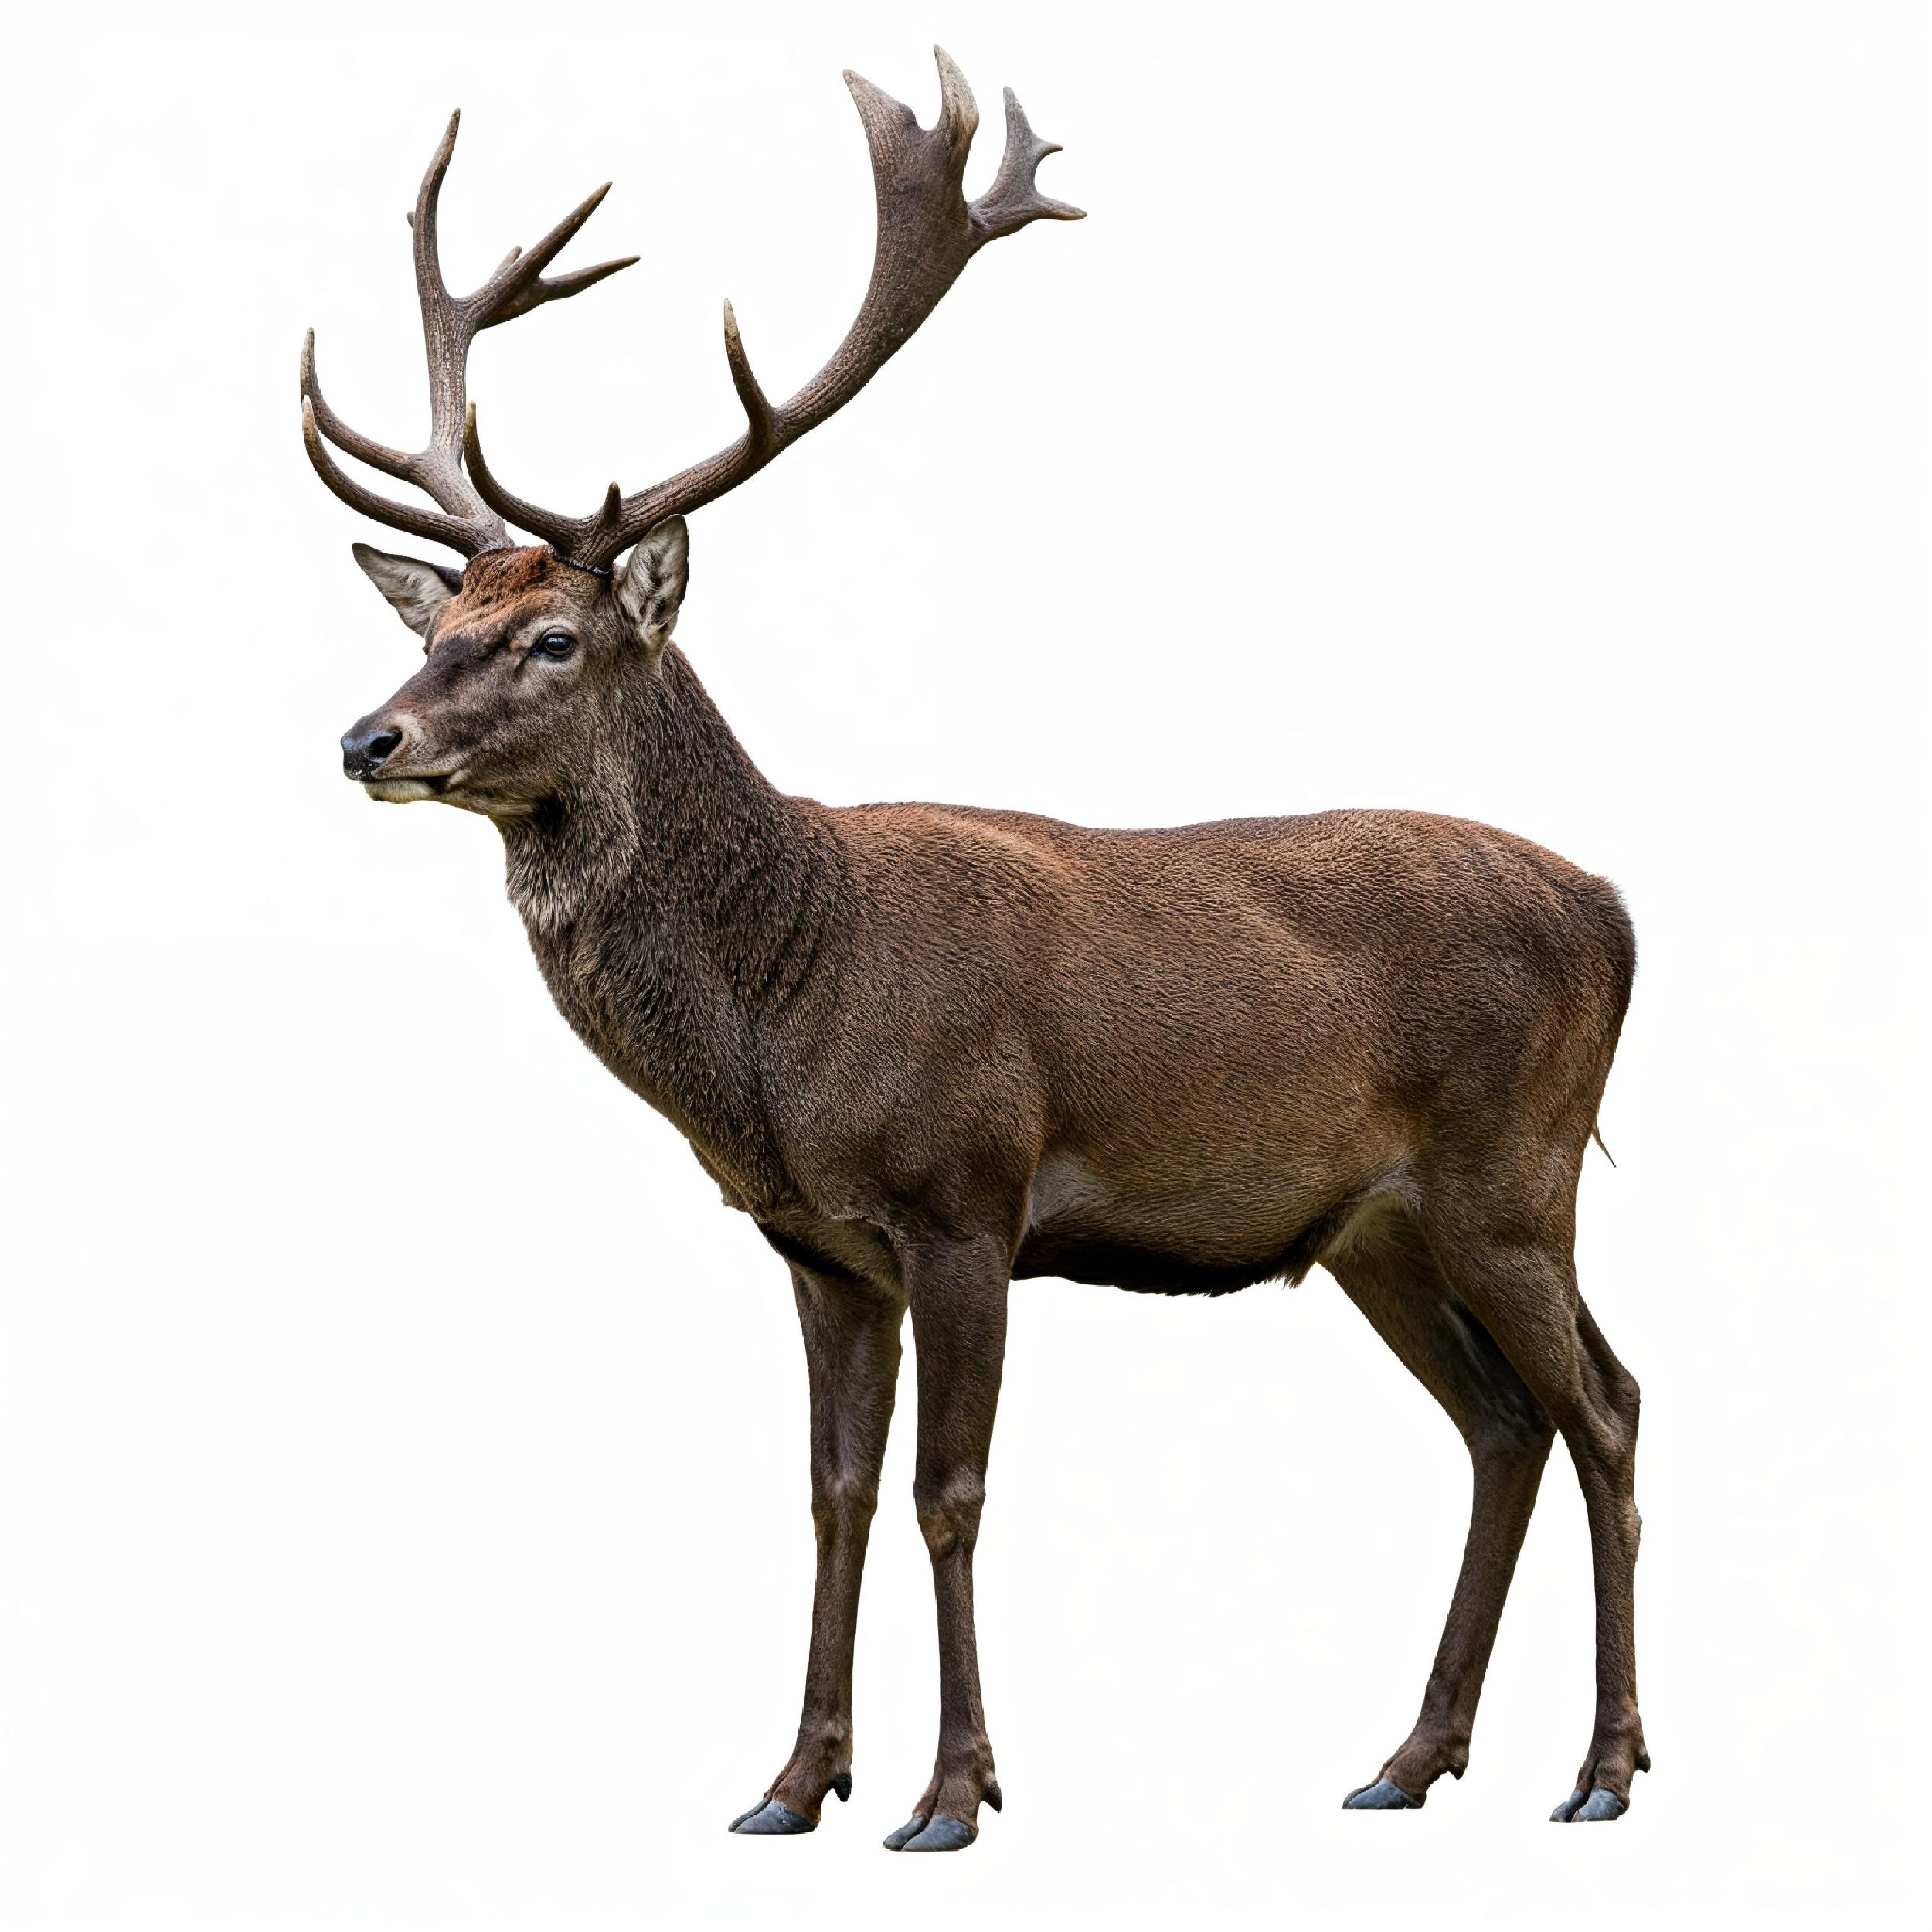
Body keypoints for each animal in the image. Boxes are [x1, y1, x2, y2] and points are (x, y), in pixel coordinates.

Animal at [302, 49, 1648, 1850]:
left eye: (553, 638)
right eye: (436, 622)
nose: (365, 738)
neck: (779, 1030)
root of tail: (1618, 907)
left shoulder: (965, 1196)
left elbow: (951, 1493)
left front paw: (952, 1791)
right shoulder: (812, 1242)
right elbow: (834, 1494)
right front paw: (792, 1781)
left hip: (1516, 1170)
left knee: (1605, 1409)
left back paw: (1602, 1771)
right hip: (1379, 1224)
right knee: (1504, 1426)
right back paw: (1407, 1756)